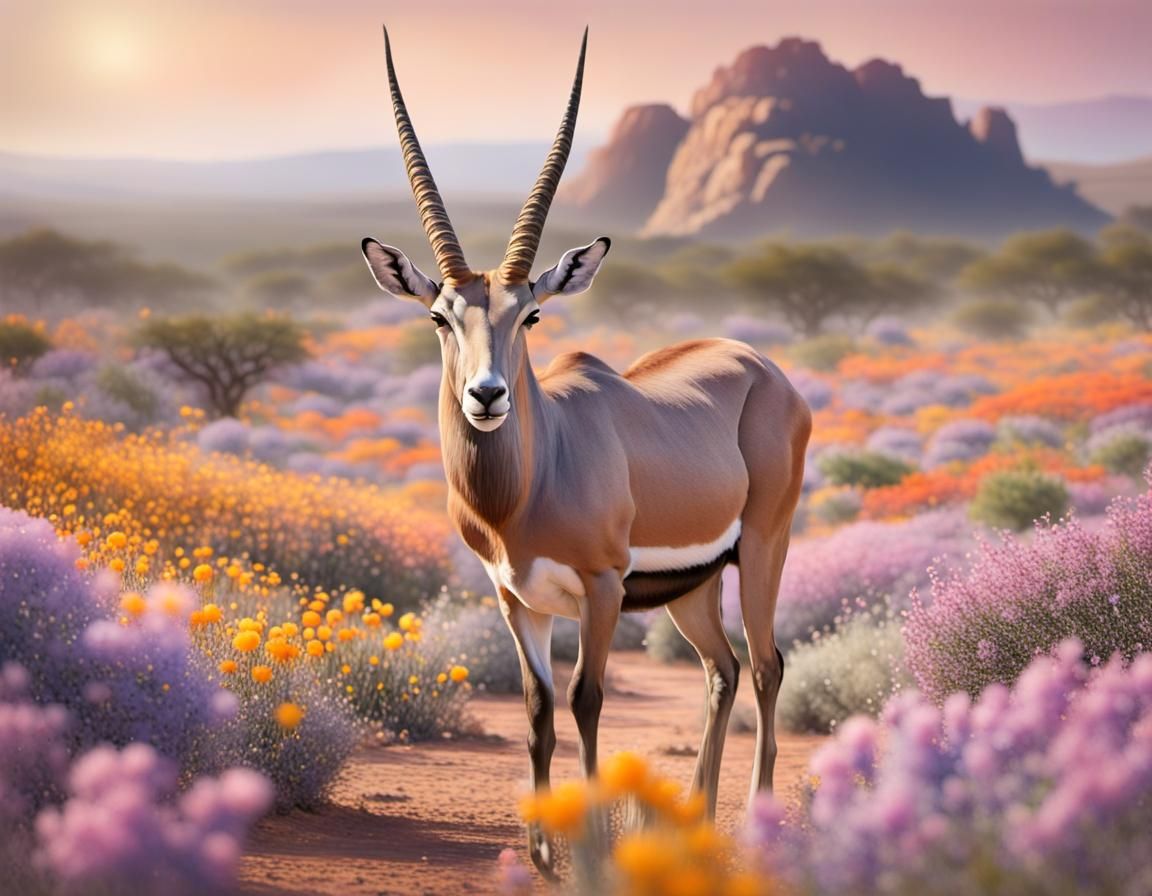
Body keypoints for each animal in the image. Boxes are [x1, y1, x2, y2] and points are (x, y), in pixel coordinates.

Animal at [362, 27, 811, 876]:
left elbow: (586, 698)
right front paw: (541, 851)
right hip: (694, 587)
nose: (488, 396)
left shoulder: (602, 591)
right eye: (440, 315)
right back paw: (697, 823)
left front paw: (593, 849)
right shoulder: (516, 597)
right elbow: (538, 706)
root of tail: (760, 366)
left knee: (767, 665)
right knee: (723, 669)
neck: (527, 489)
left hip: (765, 547)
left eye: (531, 314)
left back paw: (758, 827)